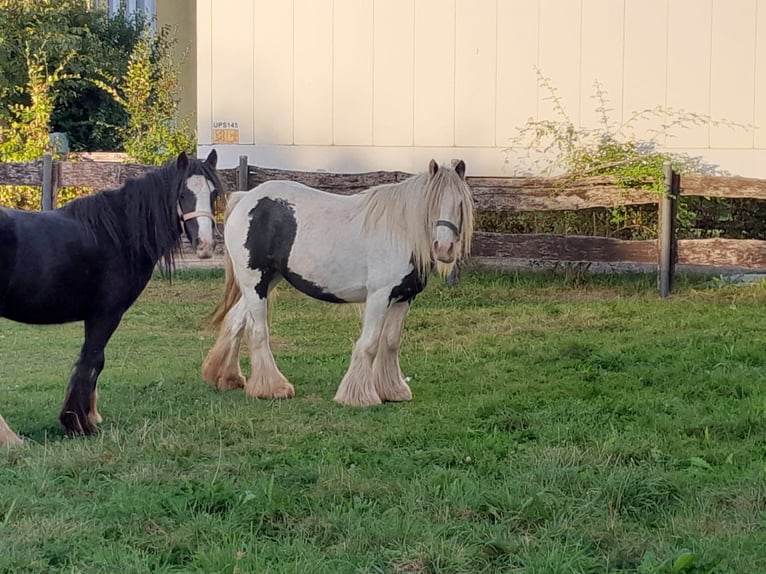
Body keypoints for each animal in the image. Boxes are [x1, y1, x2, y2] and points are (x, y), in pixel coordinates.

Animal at [0, 150, 222, 446]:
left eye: (214, 194)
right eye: (183, 193)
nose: (205, 246)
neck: (117, 234)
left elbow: (94, 362)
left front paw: (89, 417)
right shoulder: (106, 314)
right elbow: (91, 361)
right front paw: (79, 424)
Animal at [202, 160, 474, 408]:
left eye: (460, 204)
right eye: (432, 203)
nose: (445, 249)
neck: (401, 231)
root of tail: (245, 199)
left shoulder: (404, 298)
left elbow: (390, 342)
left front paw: (393, 390)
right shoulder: (379, 296)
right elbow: (370, 343)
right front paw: (359, 396)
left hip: (265, 282)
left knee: (236, 321)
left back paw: (227, 378)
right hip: (255, 283)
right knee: (257, 330)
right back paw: (273, 388)